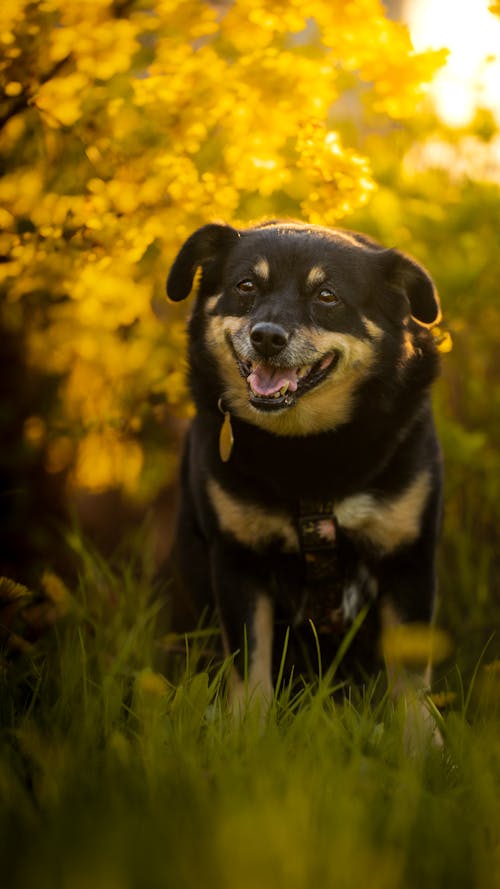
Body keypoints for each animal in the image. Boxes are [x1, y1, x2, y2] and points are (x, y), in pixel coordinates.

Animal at [166, 220, 444, 728]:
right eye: (246, 286)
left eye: (327, 295)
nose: (267, 337)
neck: (307, 451)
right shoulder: (237, 558)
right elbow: (250, 665)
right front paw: (248, 733)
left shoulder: (409, 557)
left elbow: (411, 682)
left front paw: (420, 743)